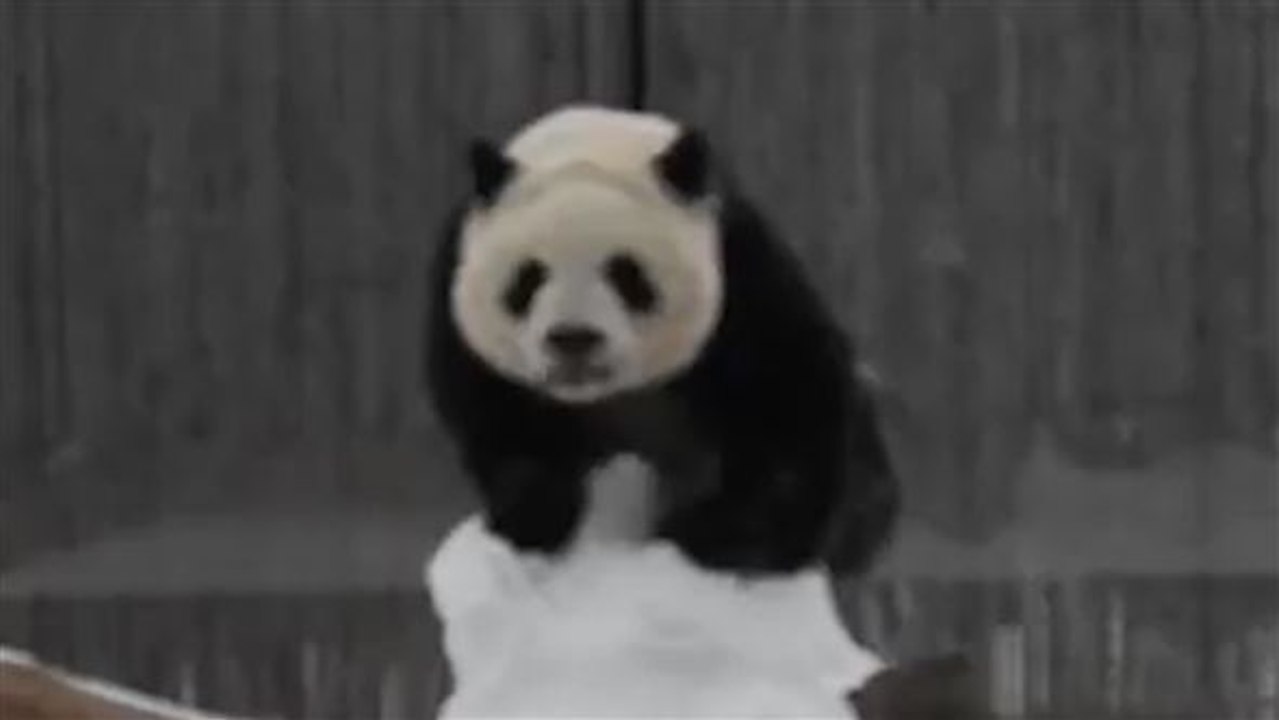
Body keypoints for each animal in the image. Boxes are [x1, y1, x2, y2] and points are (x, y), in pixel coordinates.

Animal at [424, 104, 898, 576]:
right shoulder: (458, 282)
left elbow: (786, 389)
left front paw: (726, 536)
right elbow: (502, 415)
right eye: (528, 278)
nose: (574, 339)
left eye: (626, 273)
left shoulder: (741, 271)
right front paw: (532, 515)